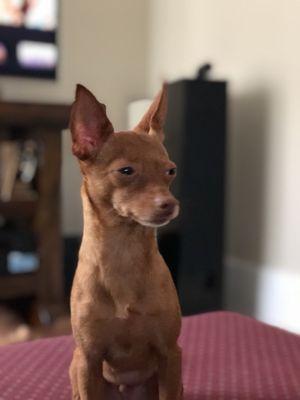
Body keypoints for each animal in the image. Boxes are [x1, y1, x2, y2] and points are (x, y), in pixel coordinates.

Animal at [69, 83, 182, 398]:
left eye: (171, 171)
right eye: (126, 171)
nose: (170, 204)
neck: (123, 249)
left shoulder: (170, 353)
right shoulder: (89, 359)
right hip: (75, 365)